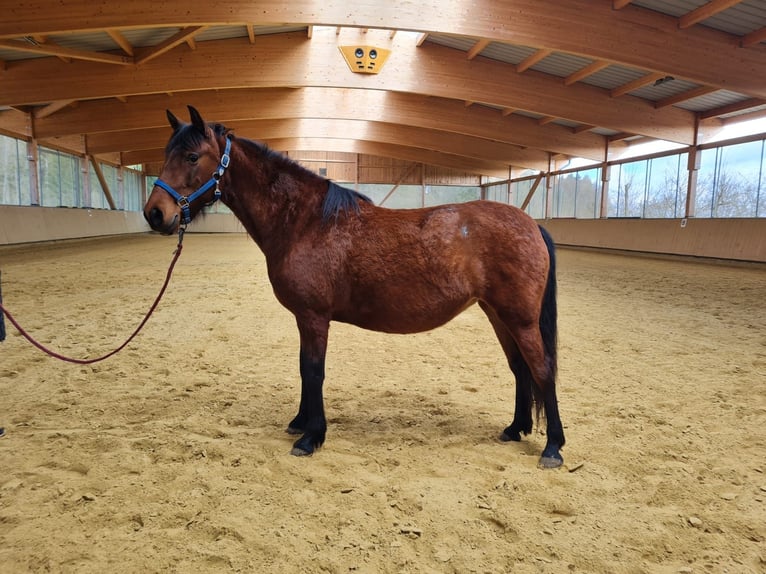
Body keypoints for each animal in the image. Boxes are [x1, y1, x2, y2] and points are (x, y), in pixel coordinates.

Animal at [144, 106, 566, 469]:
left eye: (192, 157)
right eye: (167, 154)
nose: (155, 214)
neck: (306, 222)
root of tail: (531, 224)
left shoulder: (314, 317)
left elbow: (313, 371)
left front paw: (311, 436)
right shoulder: (304, 318)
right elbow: (304, 369)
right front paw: (300, 422)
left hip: (519, 318)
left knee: (541, 369)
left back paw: (553, 448)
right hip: (498, 314)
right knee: (519, 368)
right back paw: (515, 429)